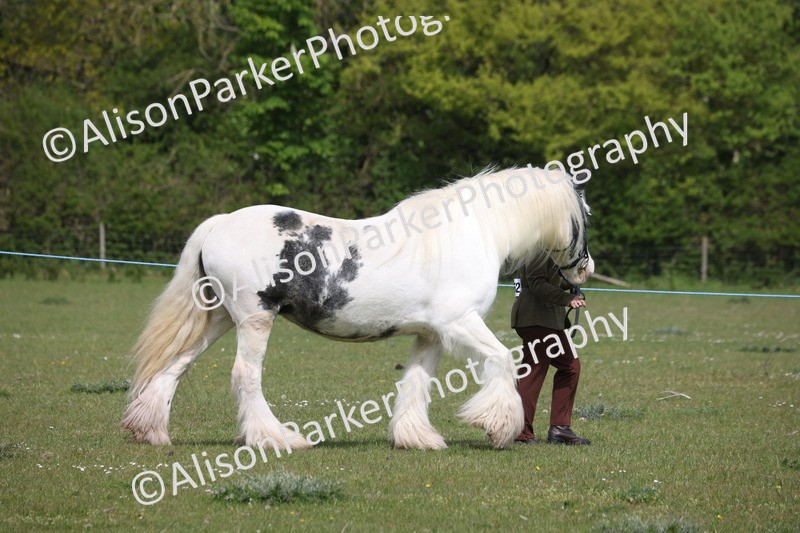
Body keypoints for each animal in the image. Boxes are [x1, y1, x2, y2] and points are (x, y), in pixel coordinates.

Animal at [122, 165, 594, 450]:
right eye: (585, 215)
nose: (585, 269)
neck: (470, 232)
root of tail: (220, 222)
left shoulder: (431, 334)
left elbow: (416, 384)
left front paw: (416, 437)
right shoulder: (460, 322)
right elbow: (501, 360)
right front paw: (496, 424)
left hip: (216, 317)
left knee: (175, 366)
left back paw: (151, 432)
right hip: (254, 318)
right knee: (245, 376)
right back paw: (276, 438)